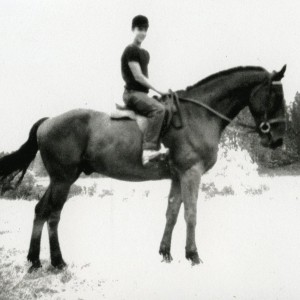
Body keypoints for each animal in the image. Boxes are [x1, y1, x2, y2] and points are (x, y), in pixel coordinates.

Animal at [0, 64, 288, 270]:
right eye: (275, 95)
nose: (277, 139)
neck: (199, 115)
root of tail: (48, 121)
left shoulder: (177, 176)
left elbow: (172, 213)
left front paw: (166, 253)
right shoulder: (191, 173)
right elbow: (191, 214)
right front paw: (193, 255)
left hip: (58, 179)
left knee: (40, 210)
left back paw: (34, 260)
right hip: (63, 179)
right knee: (53, 215)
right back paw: (57, 262)